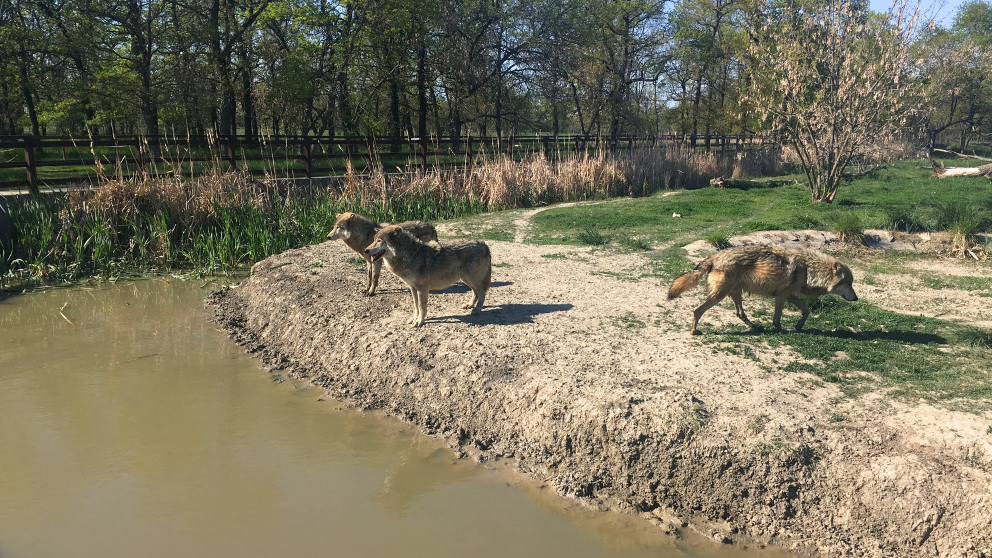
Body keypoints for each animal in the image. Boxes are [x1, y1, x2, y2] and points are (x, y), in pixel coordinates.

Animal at [364, 224, 492, 328]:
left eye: (379, 241)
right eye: (373, 240)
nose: (365, 250)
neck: (410, 255)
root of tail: (484, 244)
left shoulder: (422, 288)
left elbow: (421, 306)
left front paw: (419, 321)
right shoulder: (413, 288)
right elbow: (416, 306)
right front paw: (414, 318)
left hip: (472, 279)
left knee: (482, 292)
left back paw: (477, 309)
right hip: (466, 280)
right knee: (476, 292)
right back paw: (470, 305)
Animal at [668, 246, 860, 336]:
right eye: (850, 284)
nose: (857, 298)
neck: (808, 269)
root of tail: (715, 256)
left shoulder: (791, 296)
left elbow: (807, 310)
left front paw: (799, 326)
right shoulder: (782, 297)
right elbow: (777, 318)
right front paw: (781, 330)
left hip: (736, 294)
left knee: (739, 313)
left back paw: (756, 327)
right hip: (719, 296)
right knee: (697, 310)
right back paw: (694, 331)